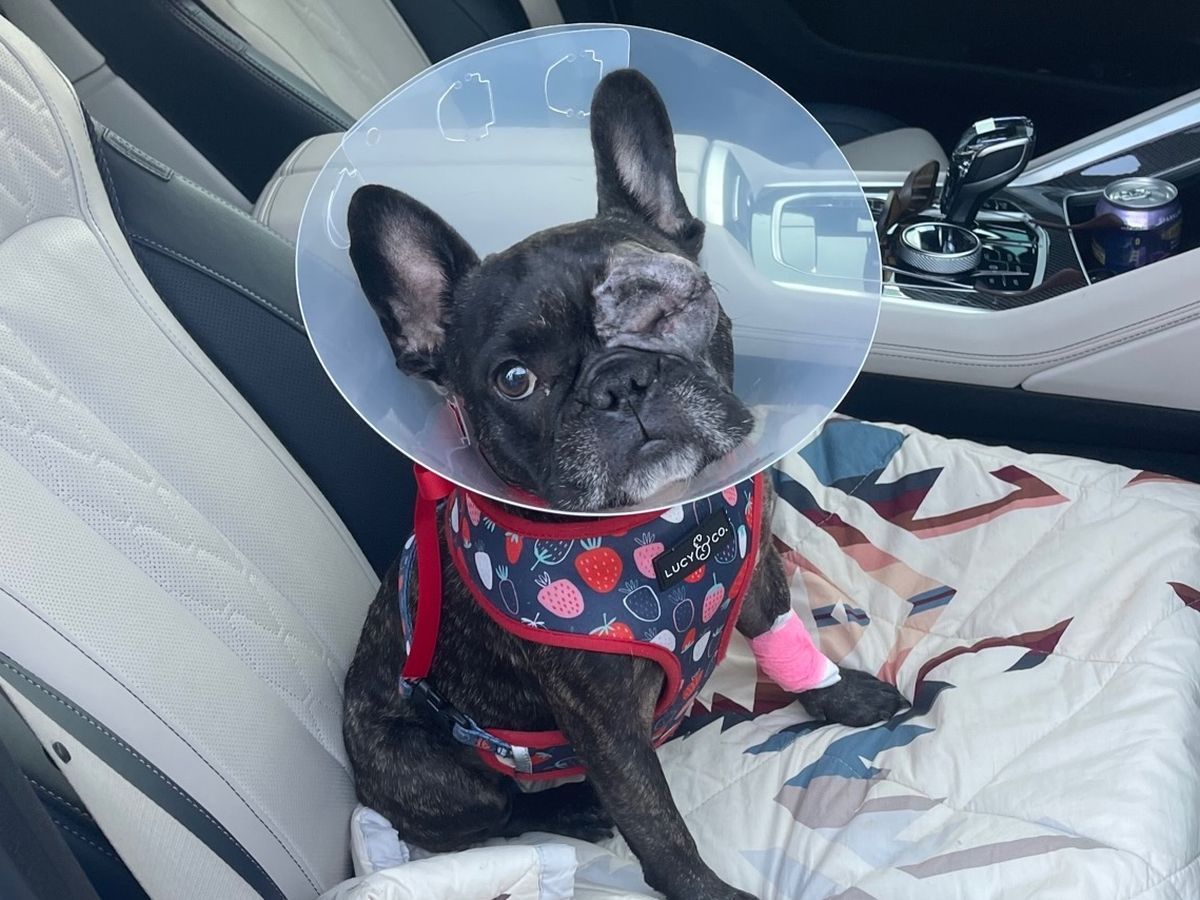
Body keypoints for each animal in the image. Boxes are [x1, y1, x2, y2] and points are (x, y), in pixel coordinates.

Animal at [342, 69, 907, 900]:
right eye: (515, 379)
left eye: (671, 306)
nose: (622, 381)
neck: (661, 529)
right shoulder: (608, 725)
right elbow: (659, 827)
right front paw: (710, 892)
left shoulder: (758, 572)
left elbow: (786, 638)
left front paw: (841, 695)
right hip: (429, 770)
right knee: (498, 808)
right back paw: (568, 807)